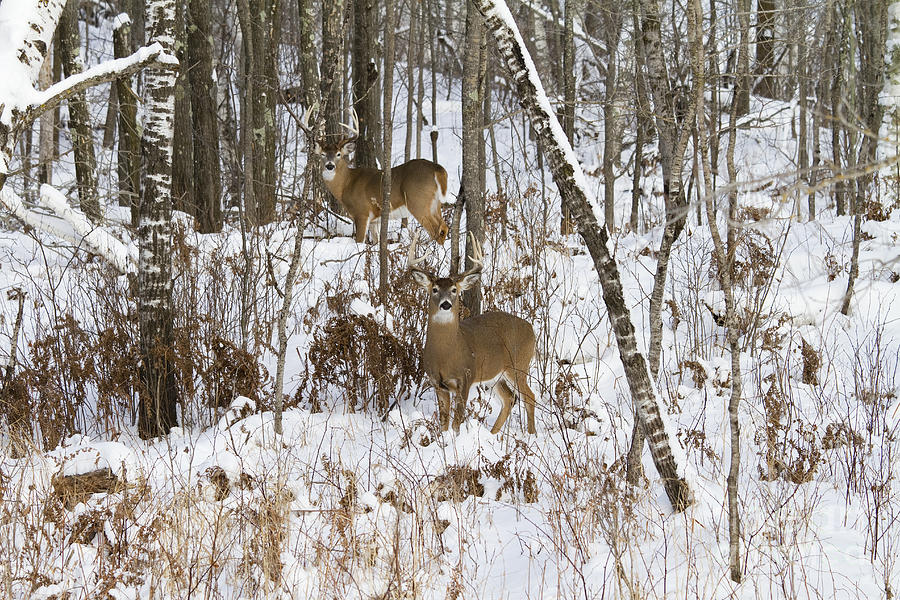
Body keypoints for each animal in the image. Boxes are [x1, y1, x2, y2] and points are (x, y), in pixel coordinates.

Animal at [296, 105, 450, 244]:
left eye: (338, 154)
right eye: (322, 154)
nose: (329, 166)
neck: (346, 185)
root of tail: (437, 169)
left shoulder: (362, 212)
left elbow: (360, 241)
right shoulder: (374, 221)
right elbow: (376, 241)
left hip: (419, 202)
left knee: (437, 230)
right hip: (435, 204)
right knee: (444, 227)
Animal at [412, 232, 536, 434]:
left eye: (454, 290)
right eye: (435, 289)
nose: (445, 304)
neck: (445, 355)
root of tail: (531, 329)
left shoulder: (466, 378)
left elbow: (456, 423)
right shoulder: (437, 383)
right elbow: (444, 423)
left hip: (519, 365)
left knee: (529, 397)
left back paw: (530, 434)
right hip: (495, 376)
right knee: (509, 398)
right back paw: (493, 434)